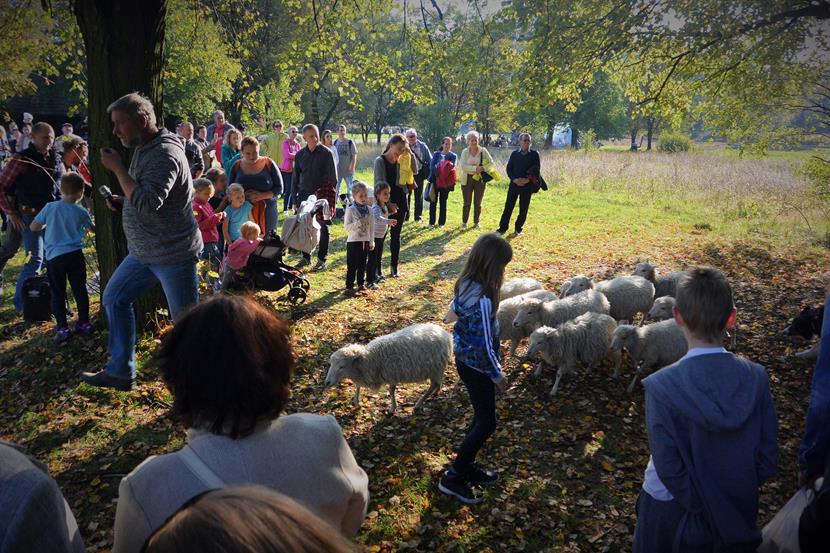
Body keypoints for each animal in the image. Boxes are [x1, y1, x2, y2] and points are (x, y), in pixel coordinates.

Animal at [326, 322, 456, 412]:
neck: (370, 359)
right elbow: (358, 386)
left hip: (435, 367)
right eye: (331, 364)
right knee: (437, 382)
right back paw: (437, 391)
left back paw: (419, 403)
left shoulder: (391, 375)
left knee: (433, 384)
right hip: (437, 368)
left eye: (342, 366)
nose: (327, 382)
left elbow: (391, 391)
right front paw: (357, 401)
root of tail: (445, 334)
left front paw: (392, 408)